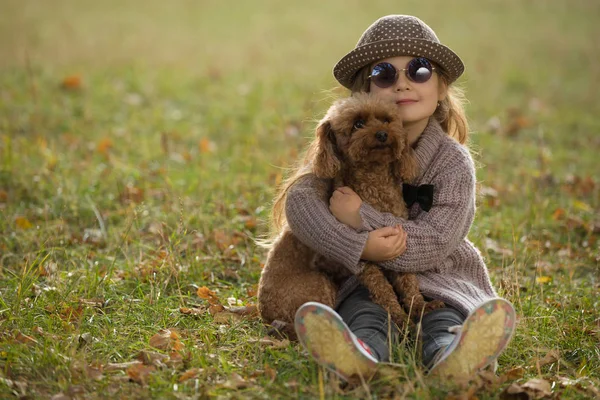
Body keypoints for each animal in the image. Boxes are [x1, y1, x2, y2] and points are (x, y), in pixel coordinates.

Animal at [255, 93, 442, 338]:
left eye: (386, 120)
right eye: (358, 124)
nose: (382, 134)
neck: (375, 183)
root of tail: (264, 315)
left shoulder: (400, 246)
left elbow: (409, 282)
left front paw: (421, 307)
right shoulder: (367, 258)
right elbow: (384, 291)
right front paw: (401, 320)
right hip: (318, 285)